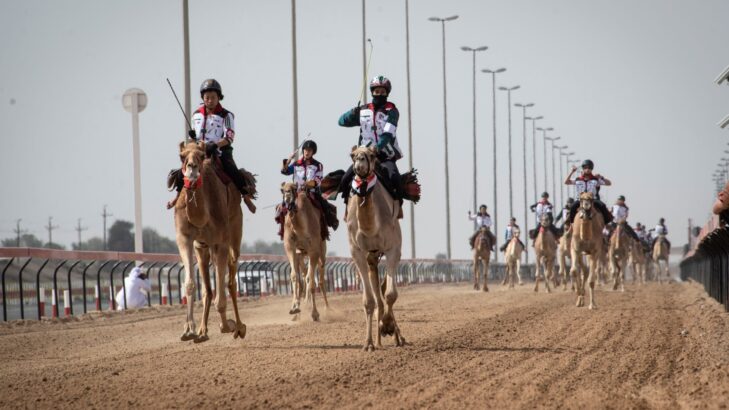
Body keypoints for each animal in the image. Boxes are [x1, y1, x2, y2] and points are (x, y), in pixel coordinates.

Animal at [174, 141, 247, 342]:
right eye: (182, 156)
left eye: (200, 155)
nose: (192, 170)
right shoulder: (184, 239)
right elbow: (190, 284)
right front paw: (189, 329)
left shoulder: (220, 242)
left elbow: (221, 297)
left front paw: (227, 326)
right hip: (203, 247)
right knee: (208, 287)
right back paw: (202, 332)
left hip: (234, 231)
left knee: (230, 281)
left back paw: (239, 327)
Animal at [280, 182, 328, 320]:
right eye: (282, 190)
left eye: (294, 188)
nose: (287, 197)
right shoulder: (290, 248)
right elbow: (294, 277)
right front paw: (295, 308)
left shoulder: (314, 251)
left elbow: (310, 280)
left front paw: (315, 313)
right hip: (301, 254)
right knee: (303, 276)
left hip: (321, 251)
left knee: (320, 280)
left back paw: (328, 309)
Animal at [346, 146, 404, 350]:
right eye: (352, 155)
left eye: (372, 154)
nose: (360, 162)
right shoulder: (357, 251)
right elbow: (369, 300)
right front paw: (368, 344)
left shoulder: (393, 248)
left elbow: (391, 294)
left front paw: (388, 327)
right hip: (371, 255)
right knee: (376, 290)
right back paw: (378, 340)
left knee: (384, 290)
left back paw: (397, 336)